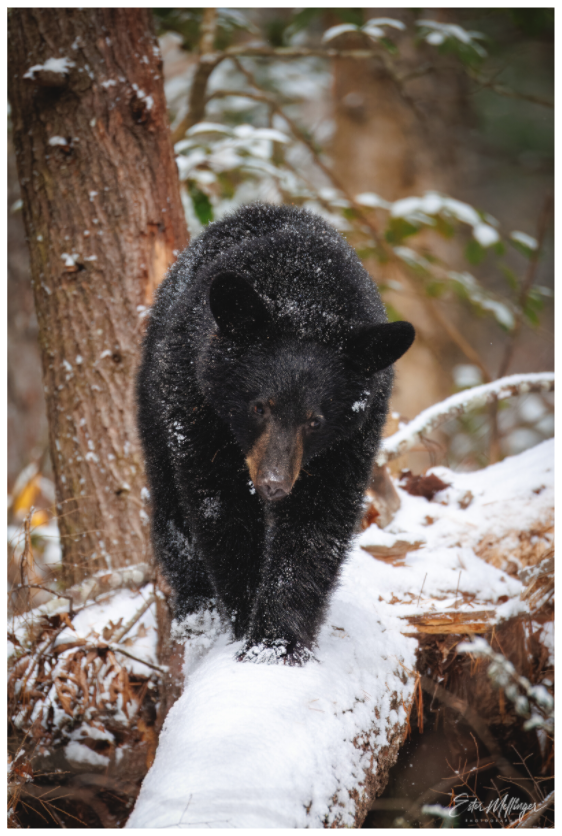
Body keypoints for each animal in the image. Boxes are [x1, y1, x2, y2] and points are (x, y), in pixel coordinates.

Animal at [136, 203, 414, 665]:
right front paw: (244, 620)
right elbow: (219, 510)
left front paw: (277, 643)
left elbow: (317, 525)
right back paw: (196, 610)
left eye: (315, 420)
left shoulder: (352, 436)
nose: (273, 484)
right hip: (153, 397)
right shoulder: (197, 405)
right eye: (258, 406)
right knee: (170, 505)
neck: (304, 294)